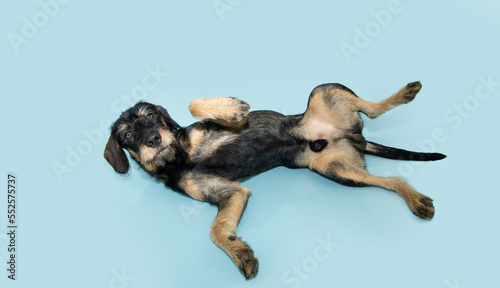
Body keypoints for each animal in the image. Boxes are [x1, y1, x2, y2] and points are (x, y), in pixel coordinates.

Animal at [104, 81, 446, 280]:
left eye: (151, 116)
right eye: (127, 135)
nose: (153, 139)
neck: (179, 157)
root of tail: (353, 137)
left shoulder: (227, 129)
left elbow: (194, 104)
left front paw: (229, 105)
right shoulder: (231, 192)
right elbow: (217, 230)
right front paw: (238, 252)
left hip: (325, 91)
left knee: (373, 110)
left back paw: (405, 93)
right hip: (339, 172)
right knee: (390, 179)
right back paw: (415, 199)